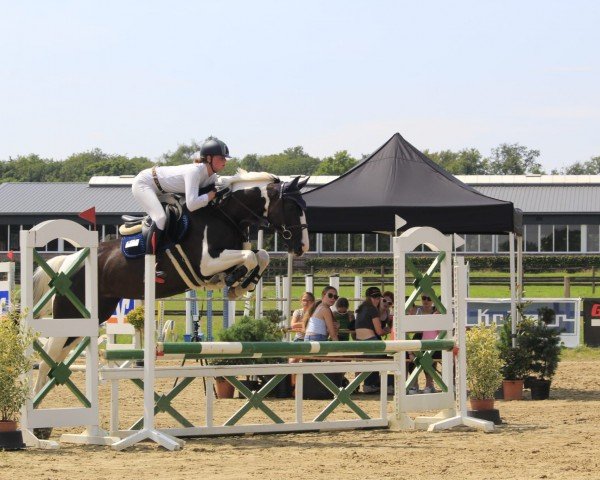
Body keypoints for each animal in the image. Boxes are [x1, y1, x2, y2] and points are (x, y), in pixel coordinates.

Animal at [31, 170, 310, 398]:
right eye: (292, 206)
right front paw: (236, 282)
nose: (303, 247)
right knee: (46, 360)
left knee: (57, 357)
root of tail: (69, 261)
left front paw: (240, 284)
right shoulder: (206, 263)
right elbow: (251, 256)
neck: (225, 214)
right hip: (70, 315)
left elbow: (260, 256)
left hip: (92, 314)